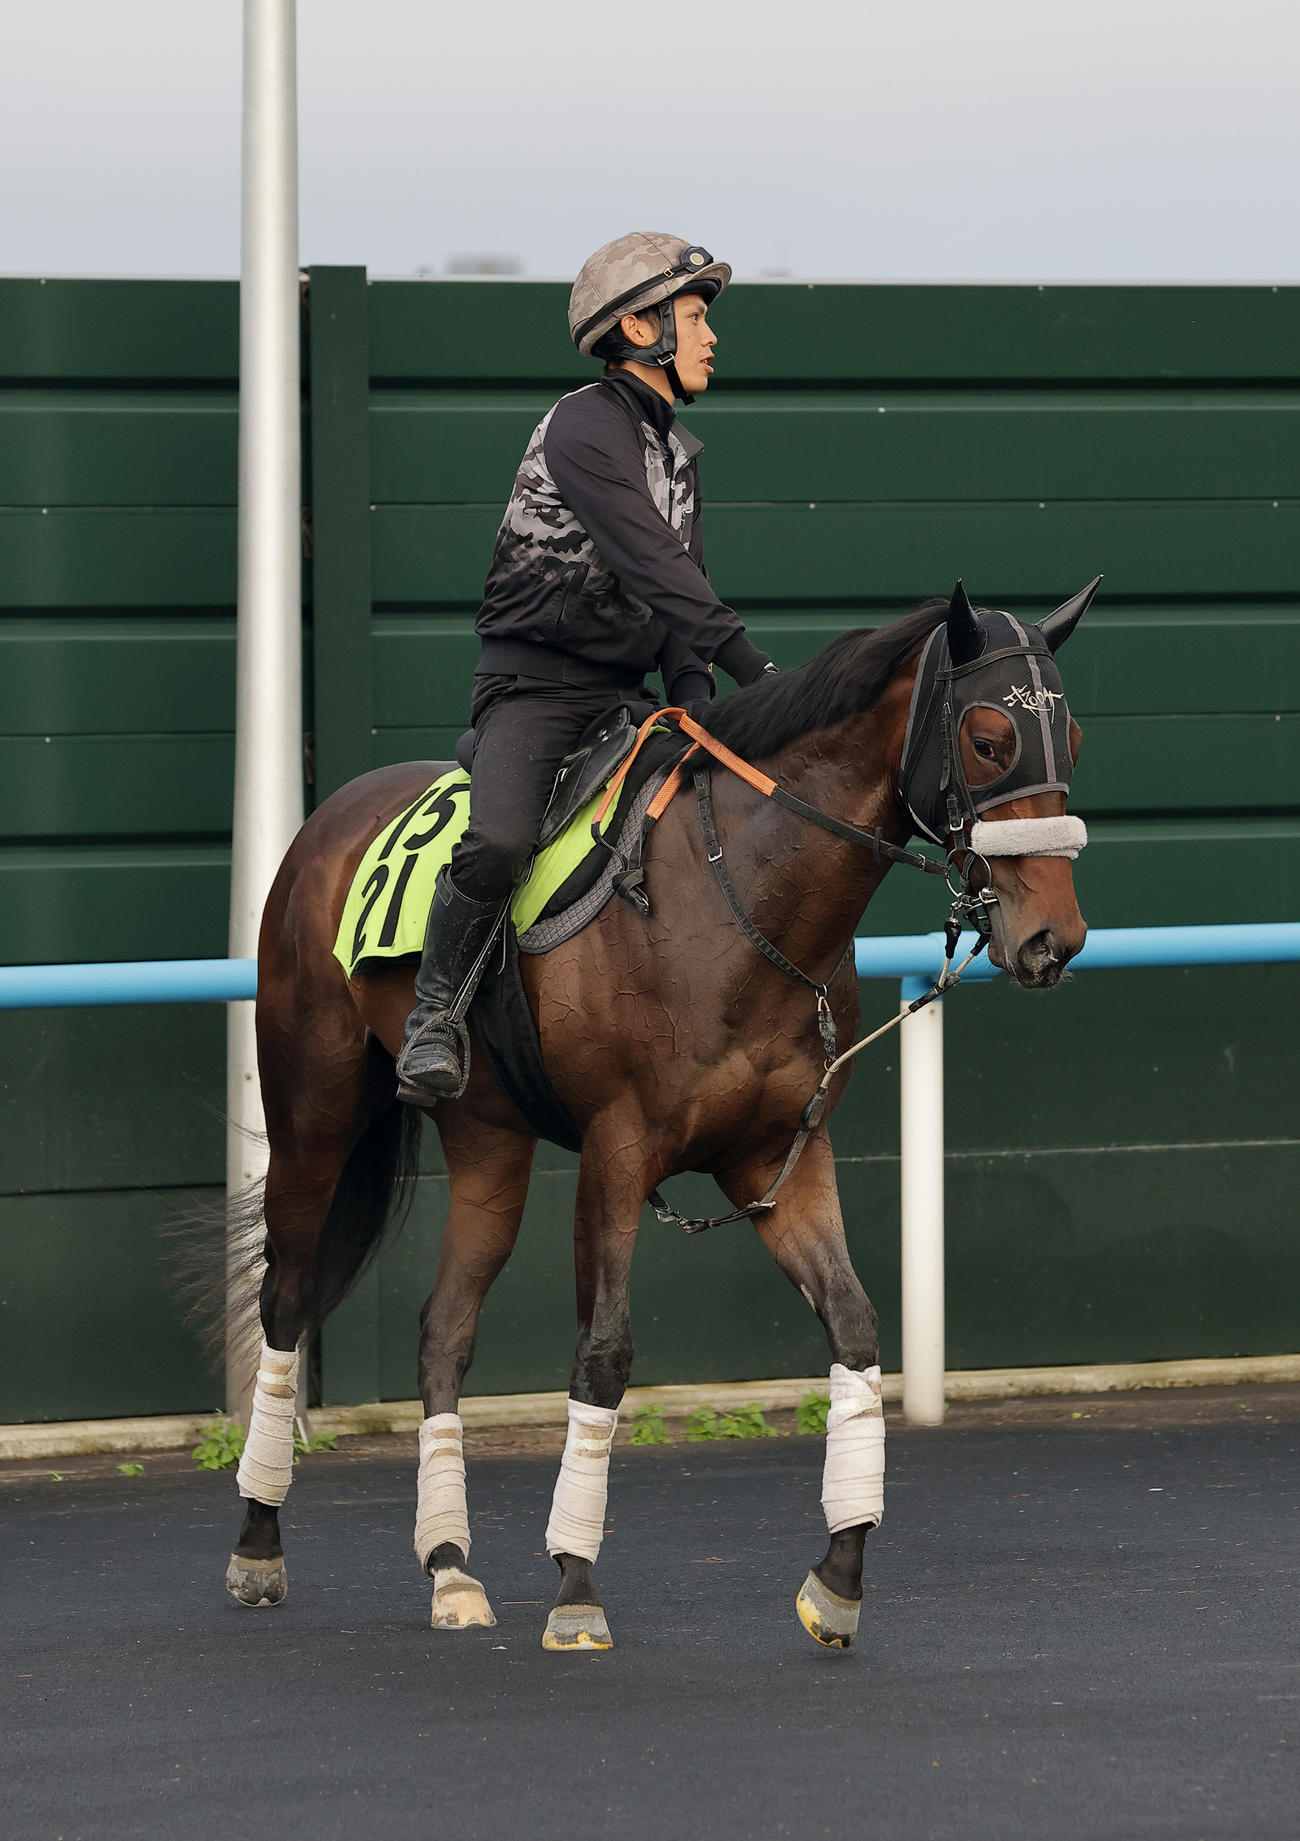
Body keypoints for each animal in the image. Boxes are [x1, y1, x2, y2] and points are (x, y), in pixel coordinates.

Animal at [223, 579, 1097, 1650]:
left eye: (1073, 738)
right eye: (987, 738)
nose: (1054, 936)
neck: (736, 893)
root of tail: (332, 815)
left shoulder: (779, 1157)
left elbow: (853, 1325)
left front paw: (838, 1575)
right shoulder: (616, 1149)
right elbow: (604, 1354)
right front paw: (575, 1585)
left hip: (489, 1137)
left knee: (443, 1328)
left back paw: (450, 1566)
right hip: (313, 1107)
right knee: (286, 1299)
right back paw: (259, 1542)